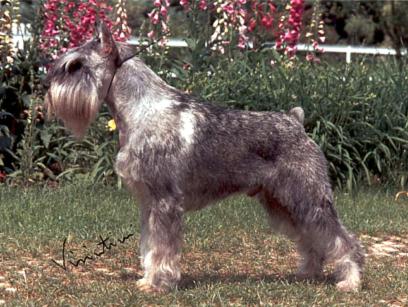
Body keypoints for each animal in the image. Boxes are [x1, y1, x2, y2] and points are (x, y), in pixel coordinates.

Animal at [44, 23, 364, 294]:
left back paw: (350, 281)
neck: (141, 108)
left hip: (308, 197)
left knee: (341, 239)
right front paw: (147, 279)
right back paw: (307, 273)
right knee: (312, 239)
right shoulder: (148, 202)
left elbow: (162, 247)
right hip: (283, 203)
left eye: (76, 65)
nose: (47, 87)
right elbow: (149, 245)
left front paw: (159, 284)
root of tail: (295, 121)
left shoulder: (165, 202)